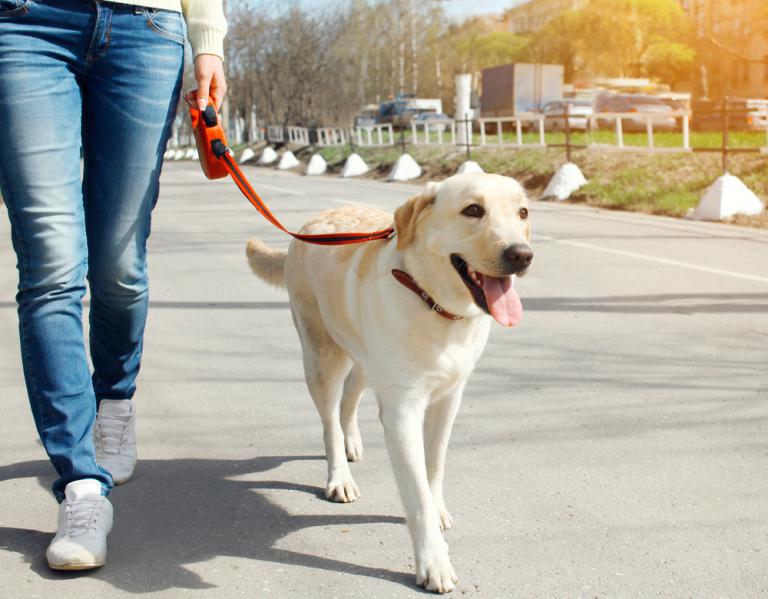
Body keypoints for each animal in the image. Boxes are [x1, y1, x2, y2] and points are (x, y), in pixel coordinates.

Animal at [246, 173, 536, 596]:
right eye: (473, 210)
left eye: (523, 212)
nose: (522, 255)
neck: (434, 303)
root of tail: (309, 225)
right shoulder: (403, 412)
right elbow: (416, 494)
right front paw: (433, 561)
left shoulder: (449, 399)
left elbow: (434, 466)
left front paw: (438, 507)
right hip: (321, 357)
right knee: (330, 420)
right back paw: (339, 476)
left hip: (366, 359)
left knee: (350, 398)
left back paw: (351, 443)